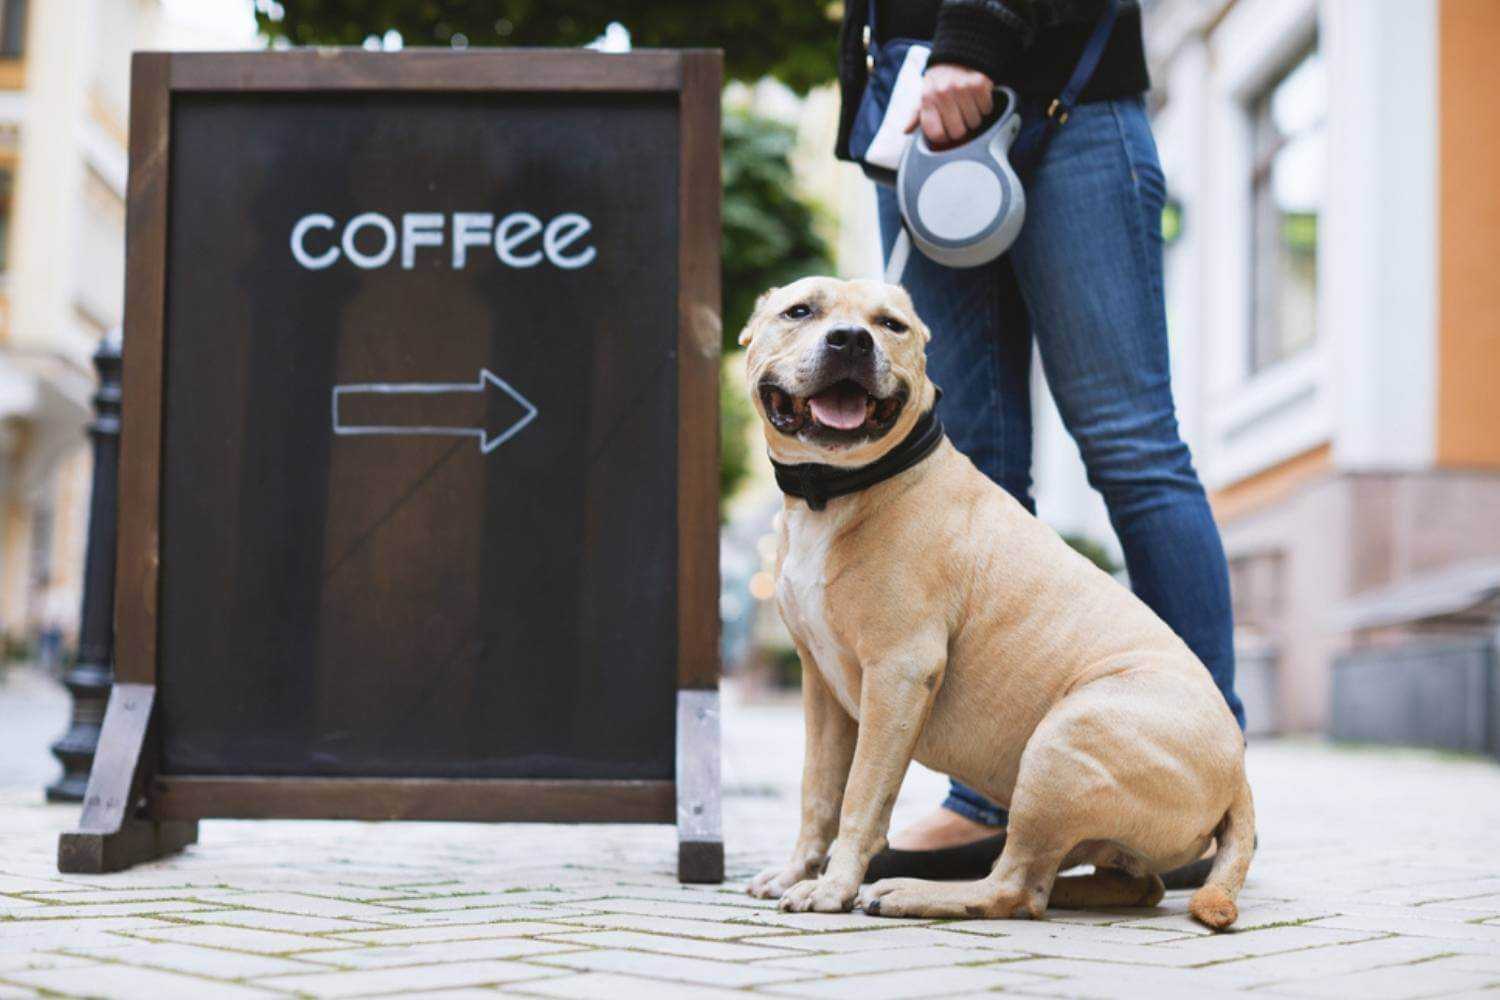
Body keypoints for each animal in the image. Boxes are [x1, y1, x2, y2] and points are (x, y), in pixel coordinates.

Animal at [741, 275, 1254, 929]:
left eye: (890, 325)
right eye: (800, 311)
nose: (851, 340)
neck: (837, 489)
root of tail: (1238, 773)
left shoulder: (898, 673)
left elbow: (861, 794)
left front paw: (832, 887)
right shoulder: (822, 687)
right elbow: (818, 793)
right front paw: (795, 872)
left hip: (1065, 739)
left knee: (1014, 888)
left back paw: (911, 891)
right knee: (1122, 886)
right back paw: (1067, 891)